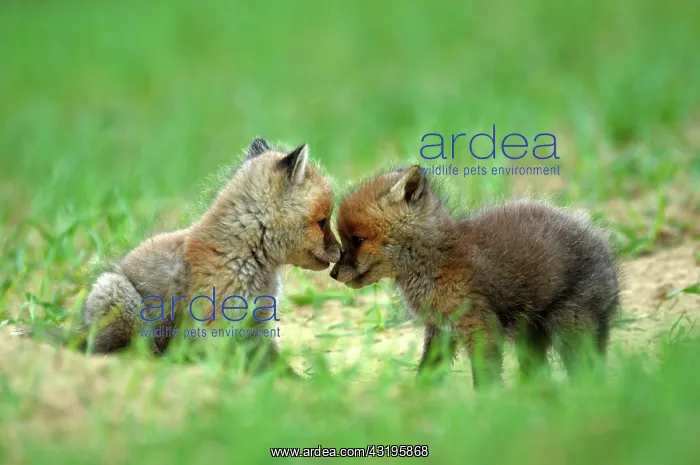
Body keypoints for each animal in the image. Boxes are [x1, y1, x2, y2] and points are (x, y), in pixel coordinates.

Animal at [22, 138, 341, 376]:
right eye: (323, 221)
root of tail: (81, 332)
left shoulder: (258, 321)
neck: (247, 251)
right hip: (119, 295)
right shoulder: (216, 322)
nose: (340, 253)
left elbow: (273, 361)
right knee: (114, 349)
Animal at [330, 165, 620, 387]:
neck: (436, 262)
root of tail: (606, 251)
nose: (332, 273)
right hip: (531, 339)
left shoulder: (479, 327)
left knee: (586, 373)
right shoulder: (440, 330)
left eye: (357, 240)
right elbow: (426, 371)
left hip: (569, 328)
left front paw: (487, 411)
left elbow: (485, 379)